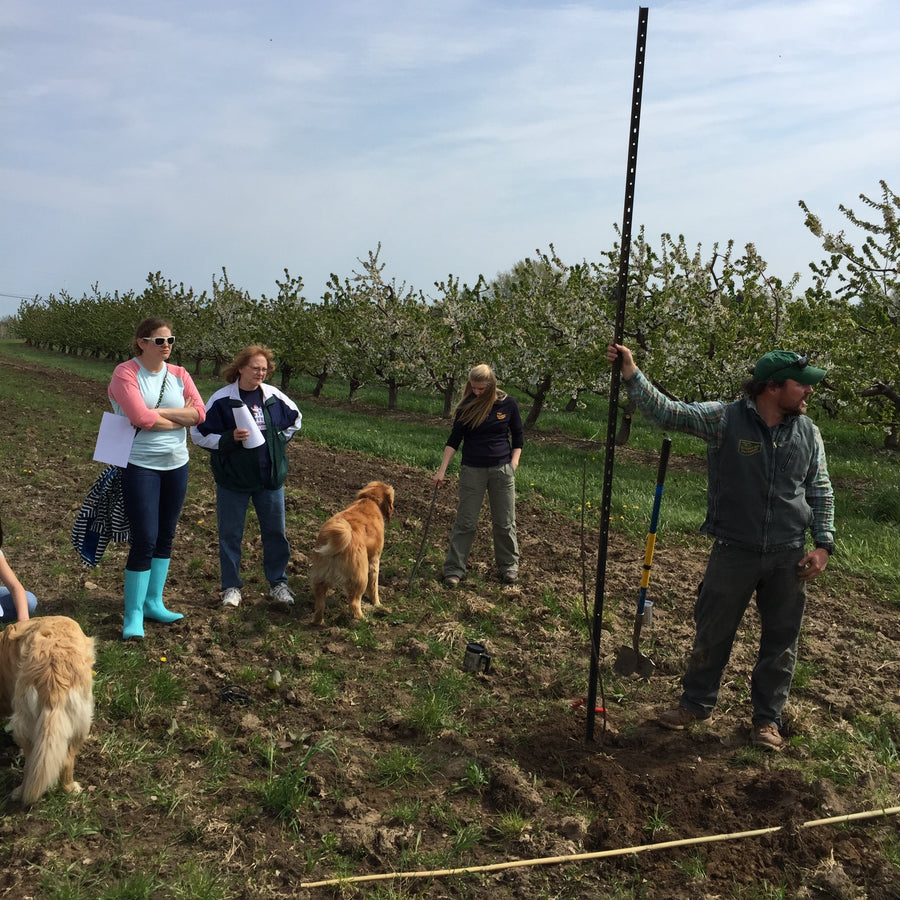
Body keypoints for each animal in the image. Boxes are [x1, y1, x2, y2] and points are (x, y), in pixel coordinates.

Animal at [0, 616, 96, 804]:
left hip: (24, 726)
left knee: (31, 764)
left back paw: (20, 792)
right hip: (82, 723)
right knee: (65, 761)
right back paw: (71, 789)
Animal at [310, 482, 394, 624]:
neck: (370, 500)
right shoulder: (374, 560)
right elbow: (374, 587)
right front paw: (377, 604)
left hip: (320, 580)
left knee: (320, 605)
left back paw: (318, 622)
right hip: (360, 579)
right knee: (354, 604)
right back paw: (365, 620)